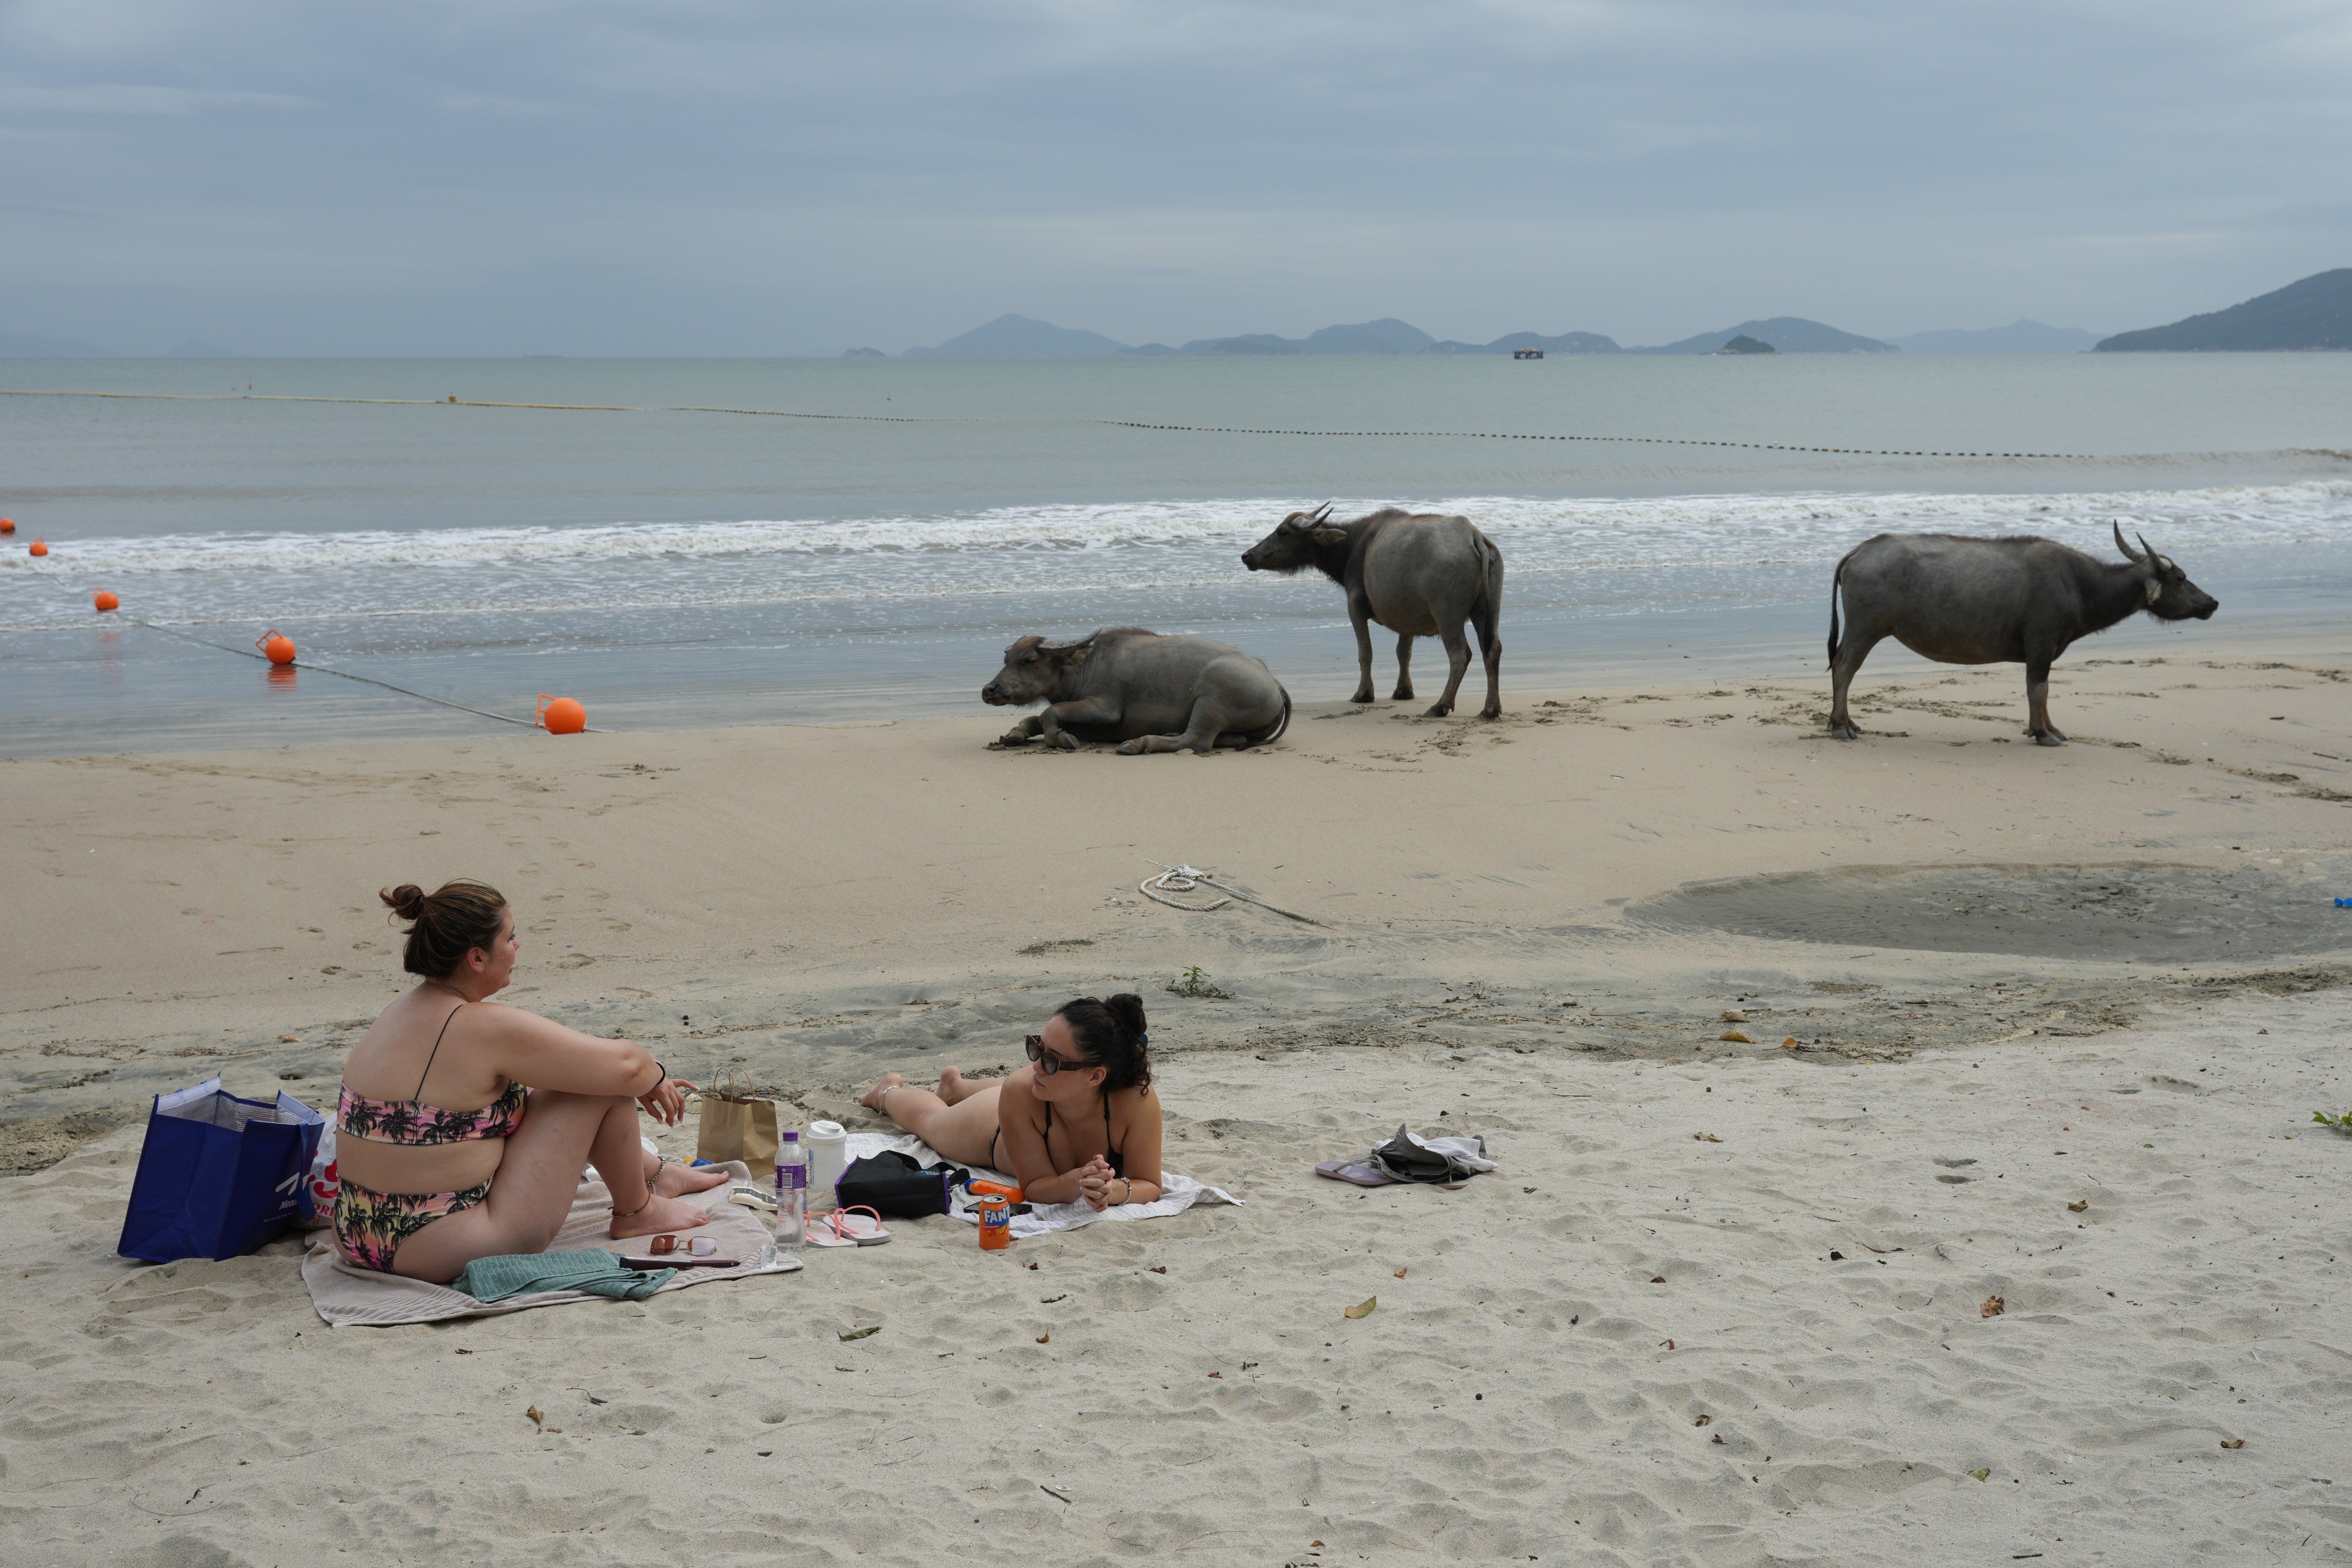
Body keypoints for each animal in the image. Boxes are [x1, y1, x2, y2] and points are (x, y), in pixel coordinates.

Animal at [983, 625, 1298, 752]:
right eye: (1006, 659)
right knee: (1232, 739)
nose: (989, 690)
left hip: (1212, 699)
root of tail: (1274, 682)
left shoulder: (1105, 709)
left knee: (1196, 741)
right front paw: (1014, 735)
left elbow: (1050, 713)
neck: (1085, 666)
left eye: (1030, 660)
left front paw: (1060, 739)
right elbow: (1033, 718)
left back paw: (1138, 744)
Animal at [1232, 505, 1505, 719]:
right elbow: (1403, 653)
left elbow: (1366, 652)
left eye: (1282, 532)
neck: (1354, 545)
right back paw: (1490, 709)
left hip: (1447, 615)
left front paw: (1364, 693)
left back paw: (1441, 706)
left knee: (1460, 655)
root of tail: (1473, 536)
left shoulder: (1355, 606)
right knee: (1492, 649)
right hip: (1487, 611)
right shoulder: (1404, 616)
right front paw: (1403, 691)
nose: (1247, 556)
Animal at [1825, 522, 2211, 747]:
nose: (2212, 602)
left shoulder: (2045, 650)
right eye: (2180, 578)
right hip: (1866, 629)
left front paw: (2052, 729)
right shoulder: (2041, 645)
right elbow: (2037, 688)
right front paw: (2042, 734)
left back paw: (1849, 722)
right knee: (1845, 668)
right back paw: (1841, 727)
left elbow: (2046, 691)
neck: (2079, 584)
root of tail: (1859, 550)